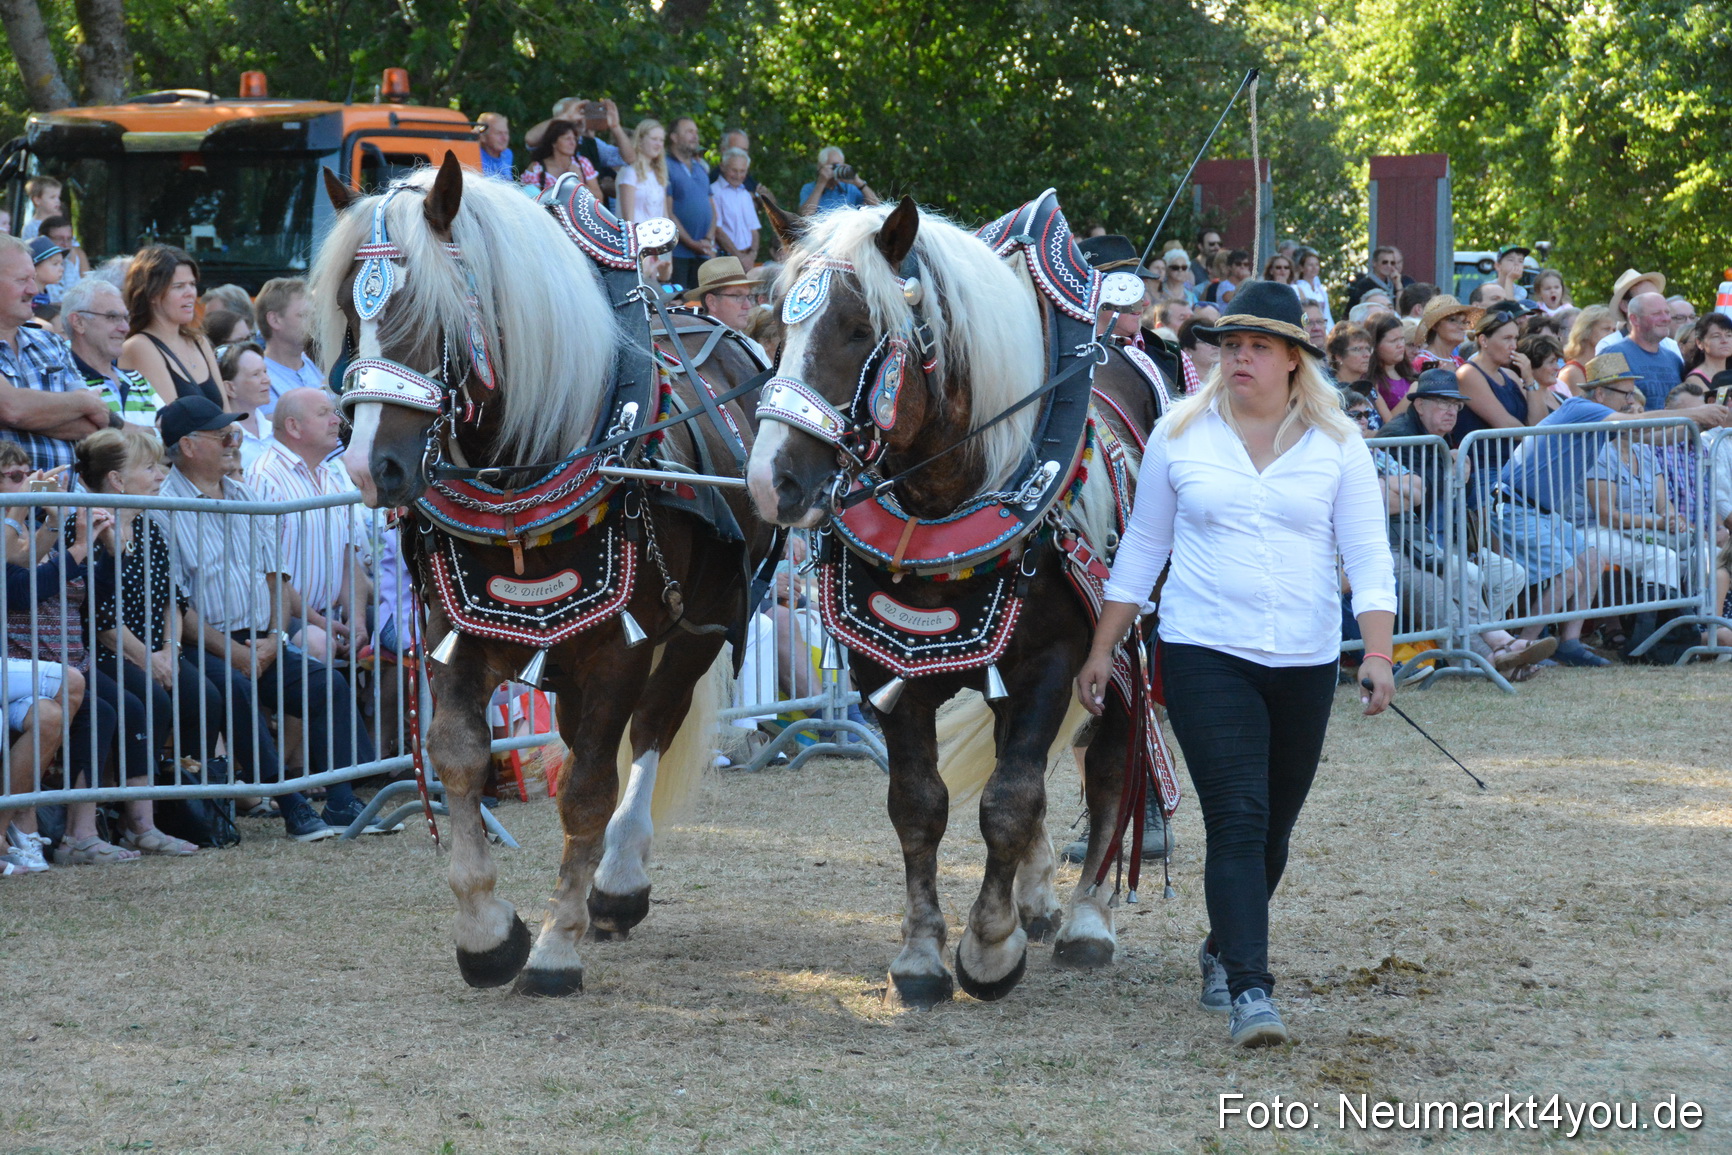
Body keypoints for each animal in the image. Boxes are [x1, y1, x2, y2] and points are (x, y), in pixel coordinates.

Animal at [314, 155, 771, 996]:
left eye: (422, 311)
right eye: (345, 311)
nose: (367, 465)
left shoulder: (622, 645)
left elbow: (587, 790)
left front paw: (556, 948)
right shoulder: (455, 632)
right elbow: (459, 758)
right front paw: (488, 933)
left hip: (702, 622)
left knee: (652, 729)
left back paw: (617, 883)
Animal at [745, 193, 1171, 1007]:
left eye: (858, 328)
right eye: (778, 325)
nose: (770, 481)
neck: (952, 495)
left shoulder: (1056, 662)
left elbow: (1009, 801)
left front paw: (990, 947)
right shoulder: (884, 666)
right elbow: (919, 803)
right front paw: (922, 953)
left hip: (1123, 655)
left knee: (1106, 767)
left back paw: (1087, 921)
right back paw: (1038, 896)